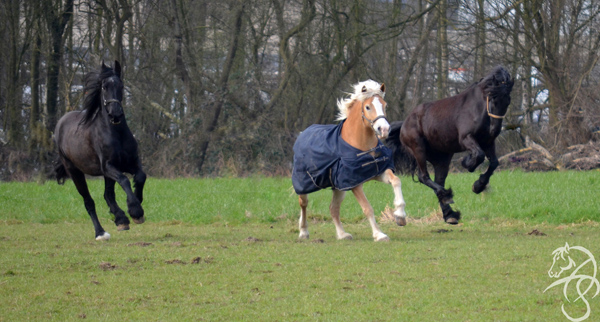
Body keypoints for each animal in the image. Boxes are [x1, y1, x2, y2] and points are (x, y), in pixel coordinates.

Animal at [55, 61, 146, 240]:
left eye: (121, 85)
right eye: (104, 86)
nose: (115, 114)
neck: (116, 133)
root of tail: (61, 123)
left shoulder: (130, 163)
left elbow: (140, 177)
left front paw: (137, 204)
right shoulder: (109, 166)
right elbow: (124, 180)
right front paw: (135, 209)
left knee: (107, 195)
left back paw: (121, 219)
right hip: (75, 172)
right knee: (89, 202)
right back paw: (101, 232)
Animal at [292, 80, 408, 242]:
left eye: (385, 105)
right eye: (367, 106)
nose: (384, 129)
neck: (361, 145)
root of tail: (303, 133)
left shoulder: (378, 172)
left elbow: (396, 181)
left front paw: (400, 216)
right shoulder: (354, 183)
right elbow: (367, 208)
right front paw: (379, 234)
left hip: (339, 188)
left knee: (333, 208)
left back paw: (342, 234)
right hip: (304, 184)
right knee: (303, 203)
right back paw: (303, 232)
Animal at [386, 65, 512, 224]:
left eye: (508, 101)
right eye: (493, 98)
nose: (494, 130)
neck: (477, 108)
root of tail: (404, 123)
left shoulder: (488, 142)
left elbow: (494, 163)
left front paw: (478, 186)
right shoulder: (466, 138)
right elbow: (479, 155)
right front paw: (468, 164)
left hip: (442, 159)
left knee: (438, 181)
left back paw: (449, 213)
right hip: (418, 150)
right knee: (424, 177)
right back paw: (447, 197)